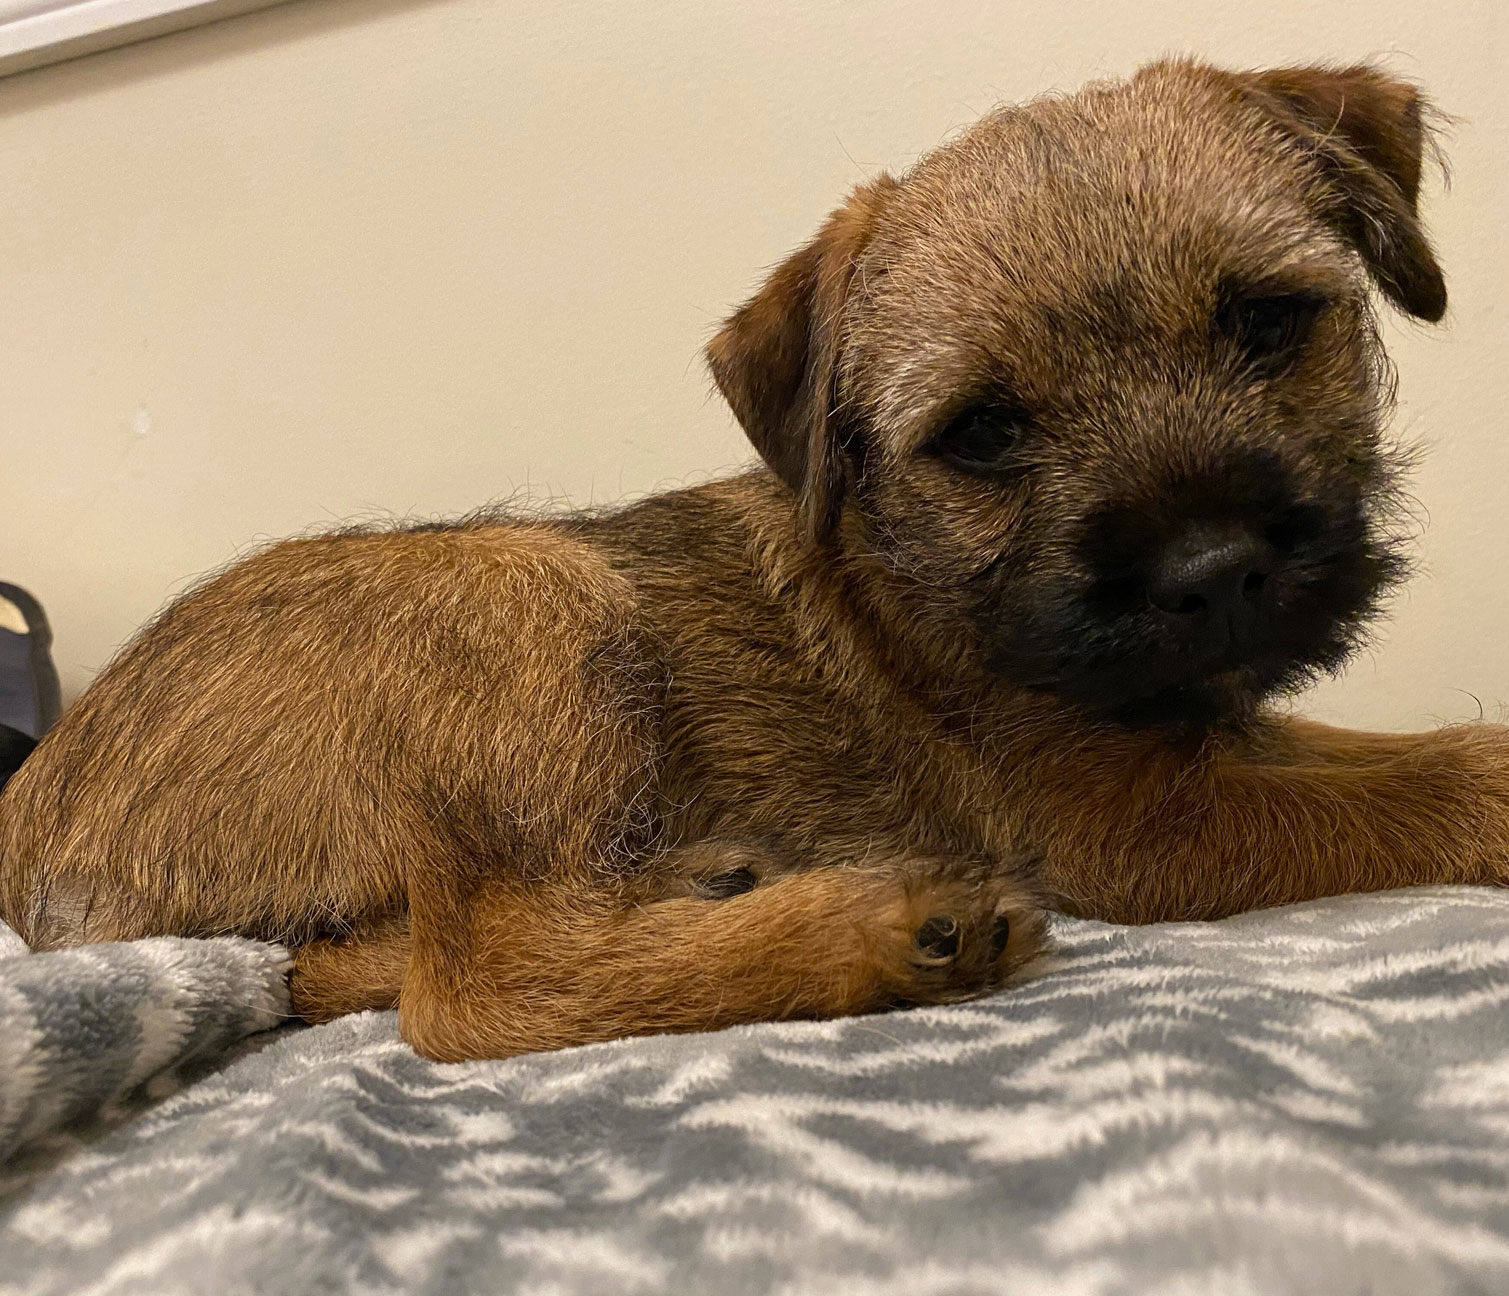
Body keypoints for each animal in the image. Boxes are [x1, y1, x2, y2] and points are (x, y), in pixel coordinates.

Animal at [3, 58, 1505, 1061]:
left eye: (1267, 320)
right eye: (984, 431)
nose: (1212, 569)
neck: (920, 574)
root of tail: (34, 820)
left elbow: (1378, 747)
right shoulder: (1128, 820)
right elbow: (1425, 779)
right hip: (525, 586)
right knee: (476, 986)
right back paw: (883, 931)